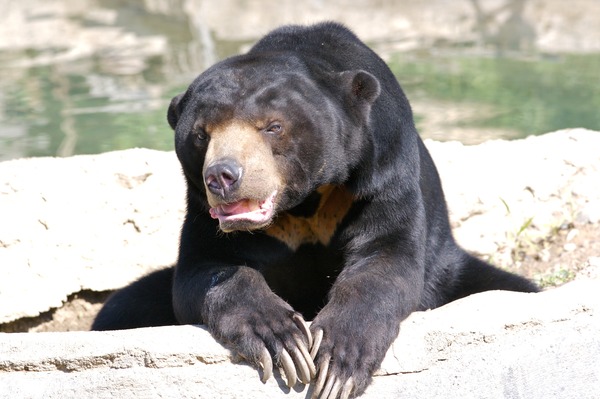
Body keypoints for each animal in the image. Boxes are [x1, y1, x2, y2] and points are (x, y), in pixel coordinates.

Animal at [94, 22, 540, 399]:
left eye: (273, 126)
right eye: (202, 135)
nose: (222, 176)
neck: (304, 201)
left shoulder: (381, 173)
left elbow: (385, 258)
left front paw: (336, 363)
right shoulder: (202, 209)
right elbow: (206, 270)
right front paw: (283, 341)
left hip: (450, 269)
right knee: (118, 309)